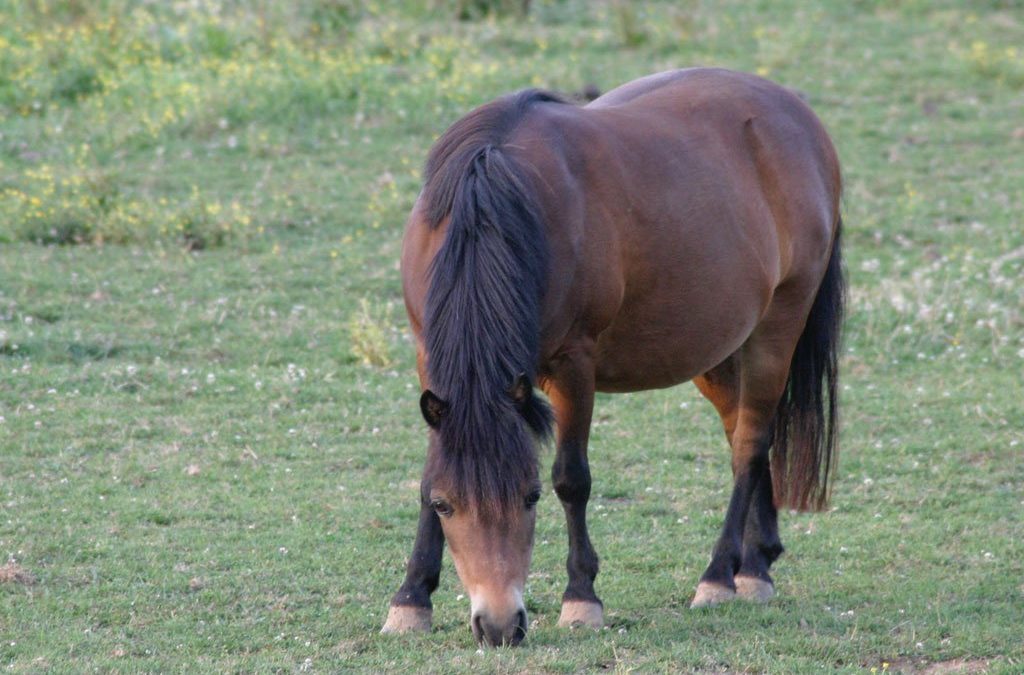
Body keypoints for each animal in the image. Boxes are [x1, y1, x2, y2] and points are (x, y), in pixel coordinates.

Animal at [380, 68, 843, 651]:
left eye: (530, 497)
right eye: (447, 506)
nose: (500, 626)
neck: (493, 201)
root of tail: (800, 118)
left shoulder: (574, 366)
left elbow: (571, 478)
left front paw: (582, 598)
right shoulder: (428, 359)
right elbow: (426, 478)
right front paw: (411, 599)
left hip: (777, 327)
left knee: (749, 445)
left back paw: (720, 576)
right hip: (718, 349)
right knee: (746, 435)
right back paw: (757, 561)